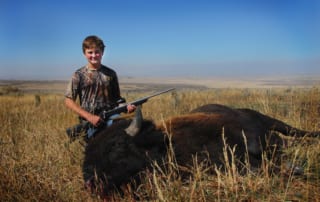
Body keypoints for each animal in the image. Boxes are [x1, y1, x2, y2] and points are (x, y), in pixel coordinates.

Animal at [83, 104, 320, 194]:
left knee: (296, 133)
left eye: (116, 146)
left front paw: (297, 169)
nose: (90, 182)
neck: (167, 144)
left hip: (274, 123)